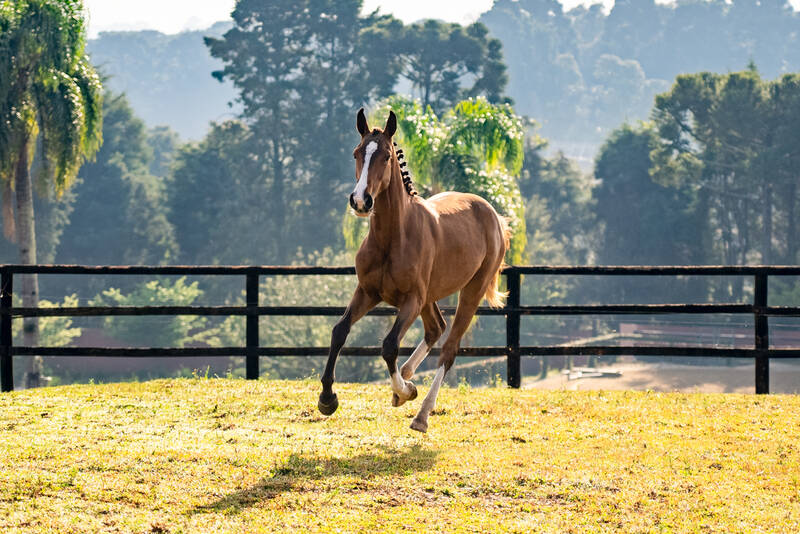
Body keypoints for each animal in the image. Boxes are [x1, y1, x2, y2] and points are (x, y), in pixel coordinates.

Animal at [318, 109, 510, 436]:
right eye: (357, 153)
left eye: (386, 156)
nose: (360, 201)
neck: (393, 237)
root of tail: (494, 215)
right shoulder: (367, 292)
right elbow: (339, 331)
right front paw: (328, 398)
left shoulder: (410, 300)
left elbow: (389, 346)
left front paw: (406, 391)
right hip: (429, 297)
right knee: (436, 328)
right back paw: (407, 378)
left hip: (469, 292)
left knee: (449, 349)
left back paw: (420, 414)